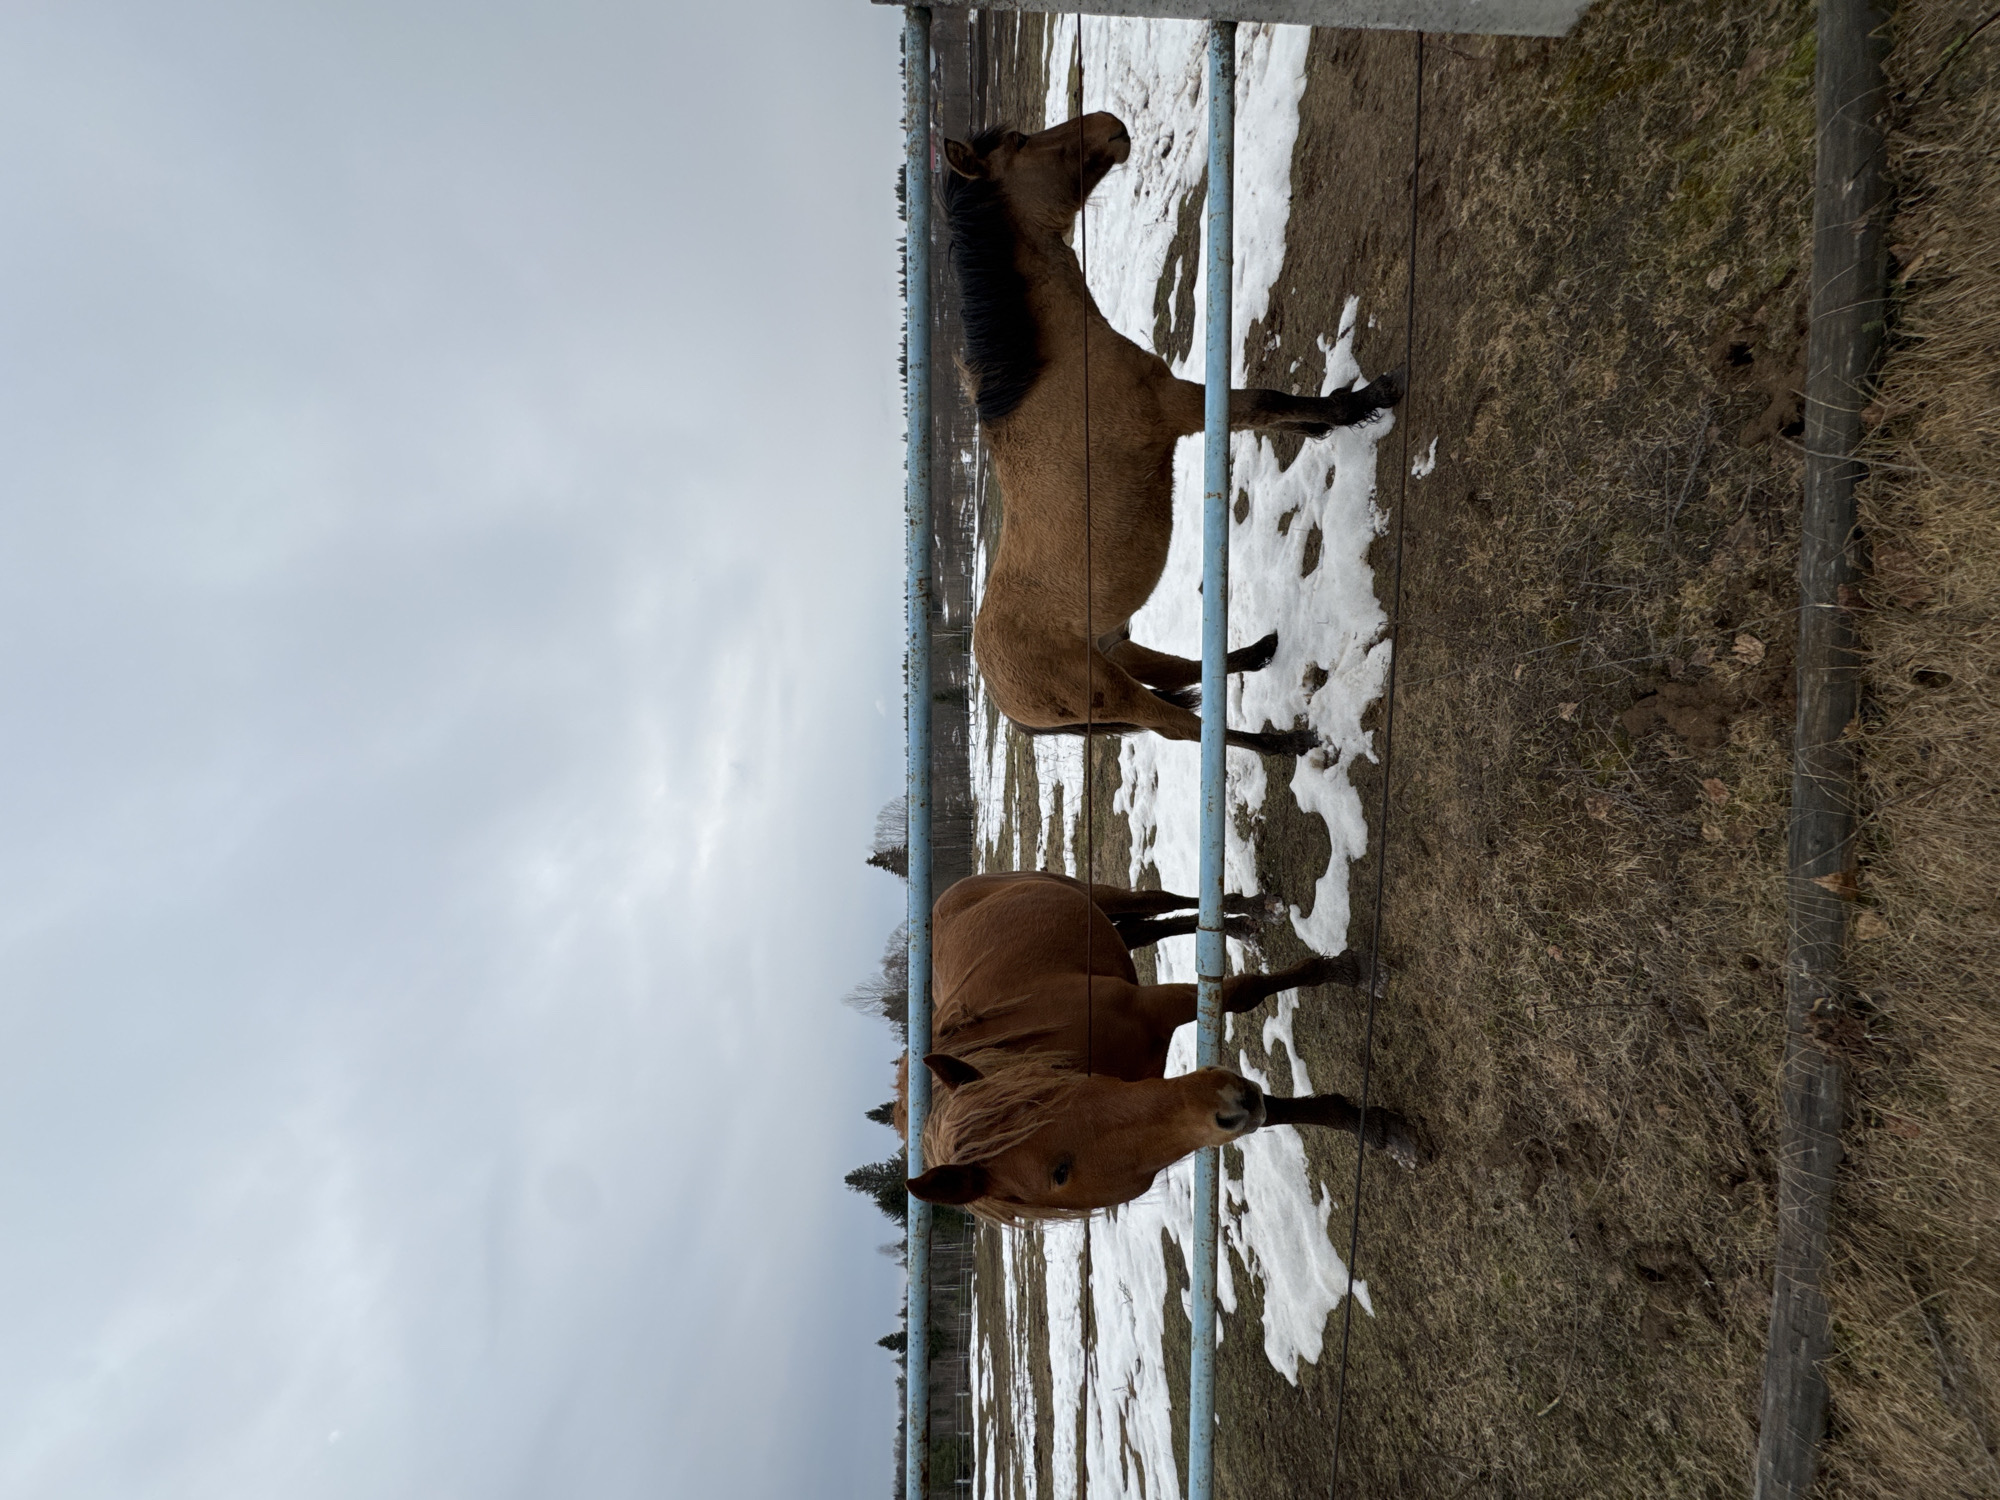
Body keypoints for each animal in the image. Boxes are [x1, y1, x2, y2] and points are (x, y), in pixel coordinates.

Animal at [897, 871, 1421, 1222]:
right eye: (1059, 1173)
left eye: (1060, 1095)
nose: (1225, 1105)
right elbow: (1273, 1109)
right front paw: (1376, 1127)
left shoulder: (1156, 1006)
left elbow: (1246, 993)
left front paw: (1350, 971)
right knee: (1151, 927)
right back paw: (1239, 923)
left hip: (1090, 890)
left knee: (1159, 900)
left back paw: (1249, 910)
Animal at [944, 114, 1405, 756]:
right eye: (1018, 144)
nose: (1110, 126)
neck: (1056, 366)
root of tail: (998, 691)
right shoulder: (1180, 406)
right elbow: (1262, 404)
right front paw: (1365, 403)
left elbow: (1269, 412)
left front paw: (1325, 421)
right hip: (1111, 688)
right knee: (1183, 727)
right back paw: (1286, 743)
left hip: (1118, 646)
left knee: (1189, 671)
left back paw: (1258, 653)